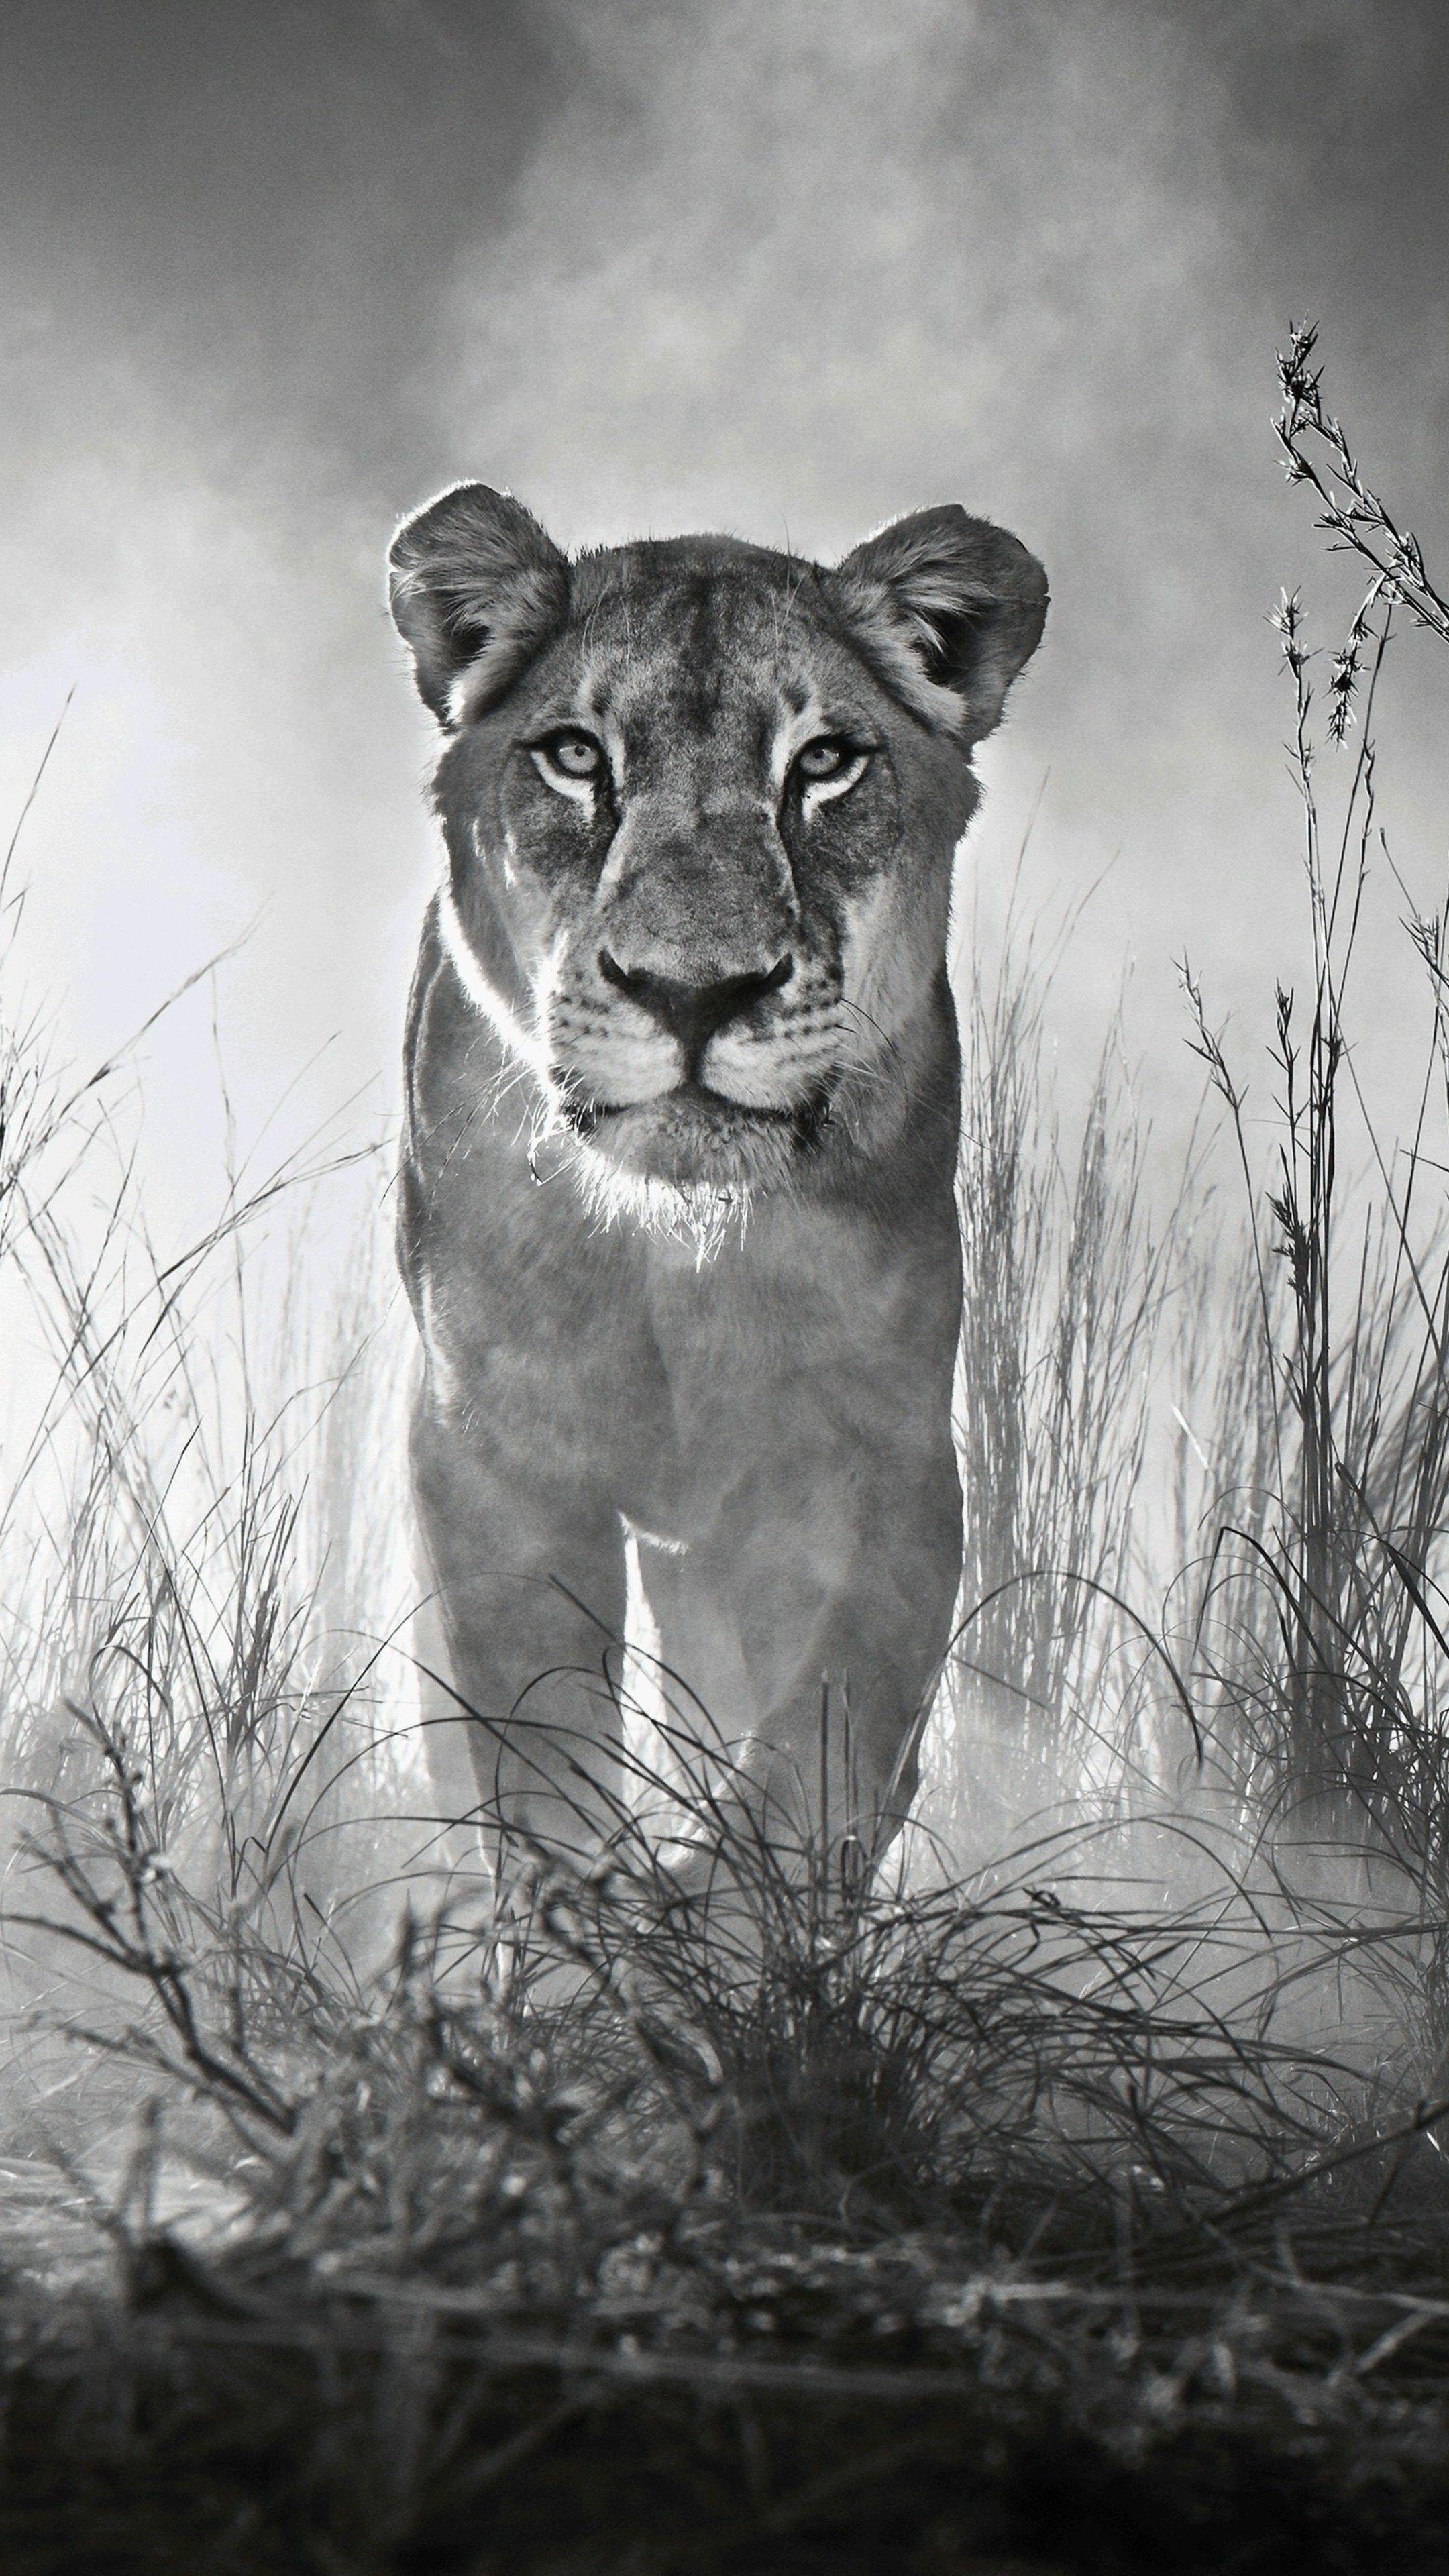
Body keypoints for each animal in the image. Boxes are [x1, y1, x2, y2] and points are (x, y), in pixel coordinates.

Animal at [388, 486, 1047, 1901]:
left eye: (826, 762)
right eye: (575, 756)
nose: (693, 993)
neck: (676, 1255)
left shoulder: (879, 1456)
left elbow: (824, 1740)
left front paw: (726, 1914)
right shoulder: (490, 1447)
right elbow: (537, 1739)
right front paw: (588, 1929)